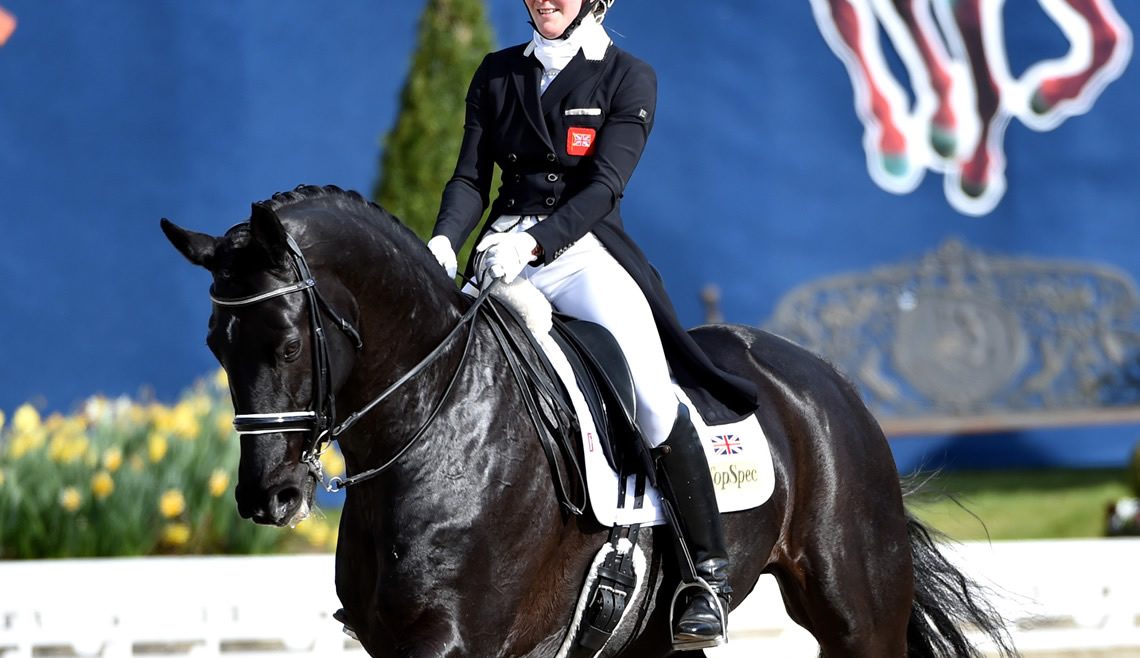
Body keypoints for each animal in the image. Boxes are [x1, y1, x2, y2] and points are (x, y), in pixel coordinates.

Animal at [163, 185, 1016, 656]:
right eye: (215, 344)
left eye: (283, 341)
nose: (268, 498)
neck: (435, 424)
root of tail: (827, 380)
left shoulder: (449, 641)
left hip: (856, 616)